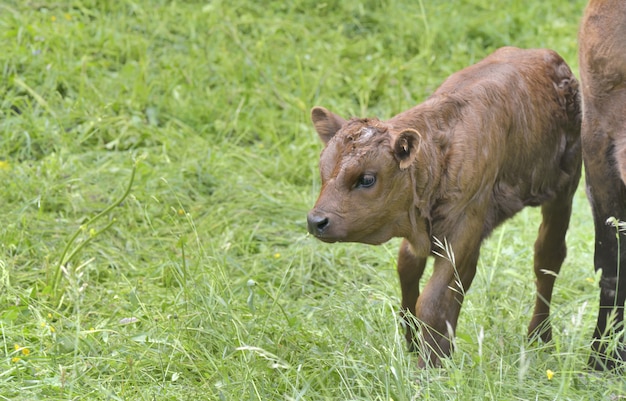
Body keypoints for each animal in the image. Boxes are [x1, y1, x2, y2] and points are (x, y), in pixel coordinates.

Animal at [308, 47, 580, 366]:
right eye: (323, 170)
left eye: (366, 178)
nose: (316, 221)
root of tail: (544, 55)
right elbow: (411, 275)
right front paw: (421, 348)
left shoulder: (464, 225)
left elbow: (433, 300)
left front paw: (428, 367)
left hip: (564, 189)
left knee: (547, 258)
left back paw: (540, 337)